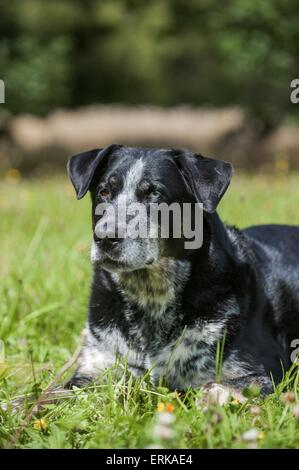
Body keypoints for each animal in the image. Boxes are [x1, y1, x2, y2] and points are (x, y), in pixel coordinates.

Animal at [65, 144, 299, 396]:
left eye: (155, 194)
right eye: (104, 191)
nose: (106, 237)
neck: (150, 297)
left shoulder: (265, 372)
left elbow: (210, 386)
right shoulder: (91, 369)